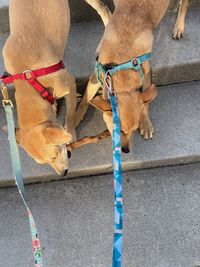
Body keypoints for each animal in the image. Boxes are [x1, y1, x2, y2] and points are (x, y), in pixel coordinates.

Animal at [1, 0, 110, 176]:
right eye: (44, 163)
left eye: (54, 156)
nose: (63, 174)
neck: (30, 83)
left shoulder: (70, 85)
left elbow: (70, 116)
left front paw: (70, 131)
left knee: (103, 7)